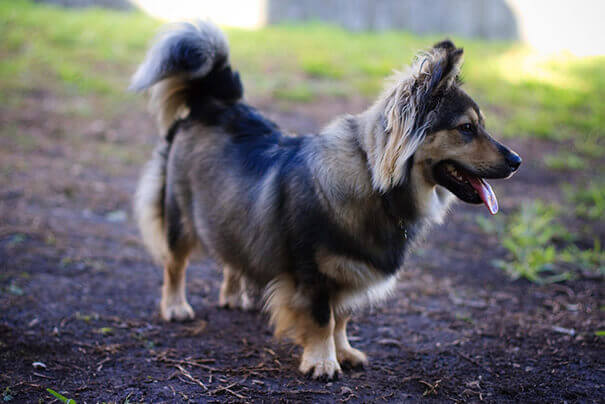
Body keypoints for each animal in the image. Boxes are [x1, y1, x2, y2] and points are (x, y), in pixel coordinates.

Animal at [131, 22, 520, 380]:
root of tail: (212, 102)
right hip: (180, 216)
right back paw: (176, 306)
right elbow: (322, 319)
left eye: (481, 125)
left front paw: (344, 352)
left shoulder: (350, 270)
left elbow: (341, 318)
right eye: (466, 129)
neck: (373, 182)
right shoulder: (313, 274)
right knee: (175, 264)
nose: (517, 161)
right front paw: (322, 362)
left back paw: (233, 295)